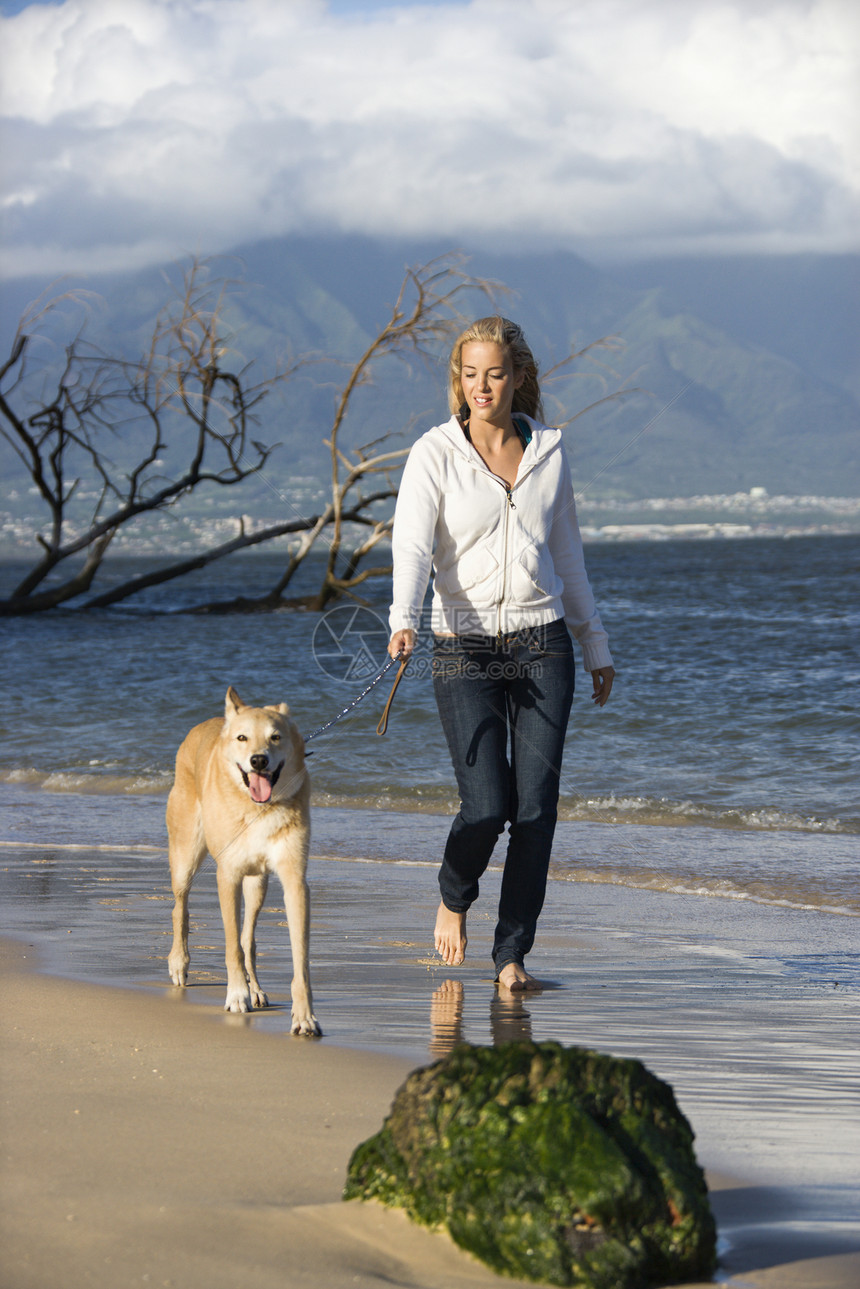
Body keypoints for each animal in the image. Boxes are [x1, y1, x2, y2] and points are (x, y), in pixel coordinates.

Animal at [166, 685, 319, 1036]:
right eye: (242, 737)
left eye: (275, 737)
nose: (258, 760)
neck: (258, 809)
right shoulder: (228, 875)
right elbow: (231, 945)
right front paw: (236, 996)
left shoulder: (294, 880)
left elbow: (299, 959)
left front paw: (304, 1016)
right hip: (185, 856)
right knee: (180, 906)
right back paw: (179, 963)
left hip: (257, 883)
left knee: (249, 937)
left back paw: (256, 989)